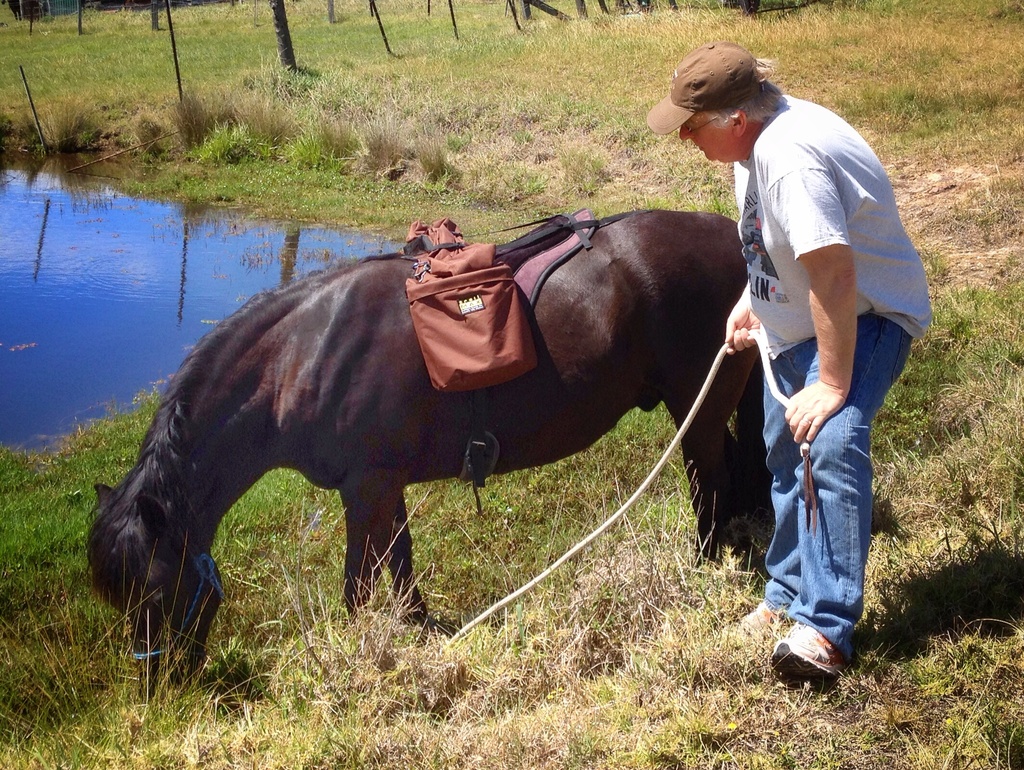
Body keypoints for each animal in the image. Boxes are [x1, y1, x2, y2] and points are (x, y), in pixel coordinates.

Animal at [88, 207, 765, 675]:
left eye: (153, 592)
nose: (163, 685)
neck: (304, 354)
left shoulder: (363, 491)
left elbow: (359, 584)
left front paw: (361, 656)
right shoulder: (382, 484)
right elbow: (401, 565)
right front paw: (416, 635)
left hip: (698, 409)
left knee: (711, 484)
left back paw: (702, 571)